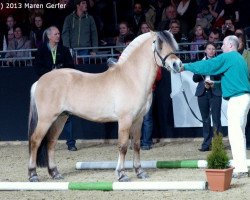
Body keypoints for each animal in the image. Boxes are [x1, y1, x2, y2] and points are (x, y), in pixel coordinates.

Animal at [27, 30, 182, 182]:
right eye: (159, 45)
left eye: (172, 44)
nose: (177, 64)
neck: (131, 78)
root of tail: (40, 81)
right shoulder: (125, 120)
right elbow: (123, 146)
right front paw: (121, 174)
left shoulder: (138, 120)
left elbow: (137, 145)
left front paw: (140, 172)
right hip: (46, 119)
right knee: (35, 141)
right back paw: (33, 175)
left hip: (60, 118)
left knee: (51, 143)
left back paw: (55, 173)